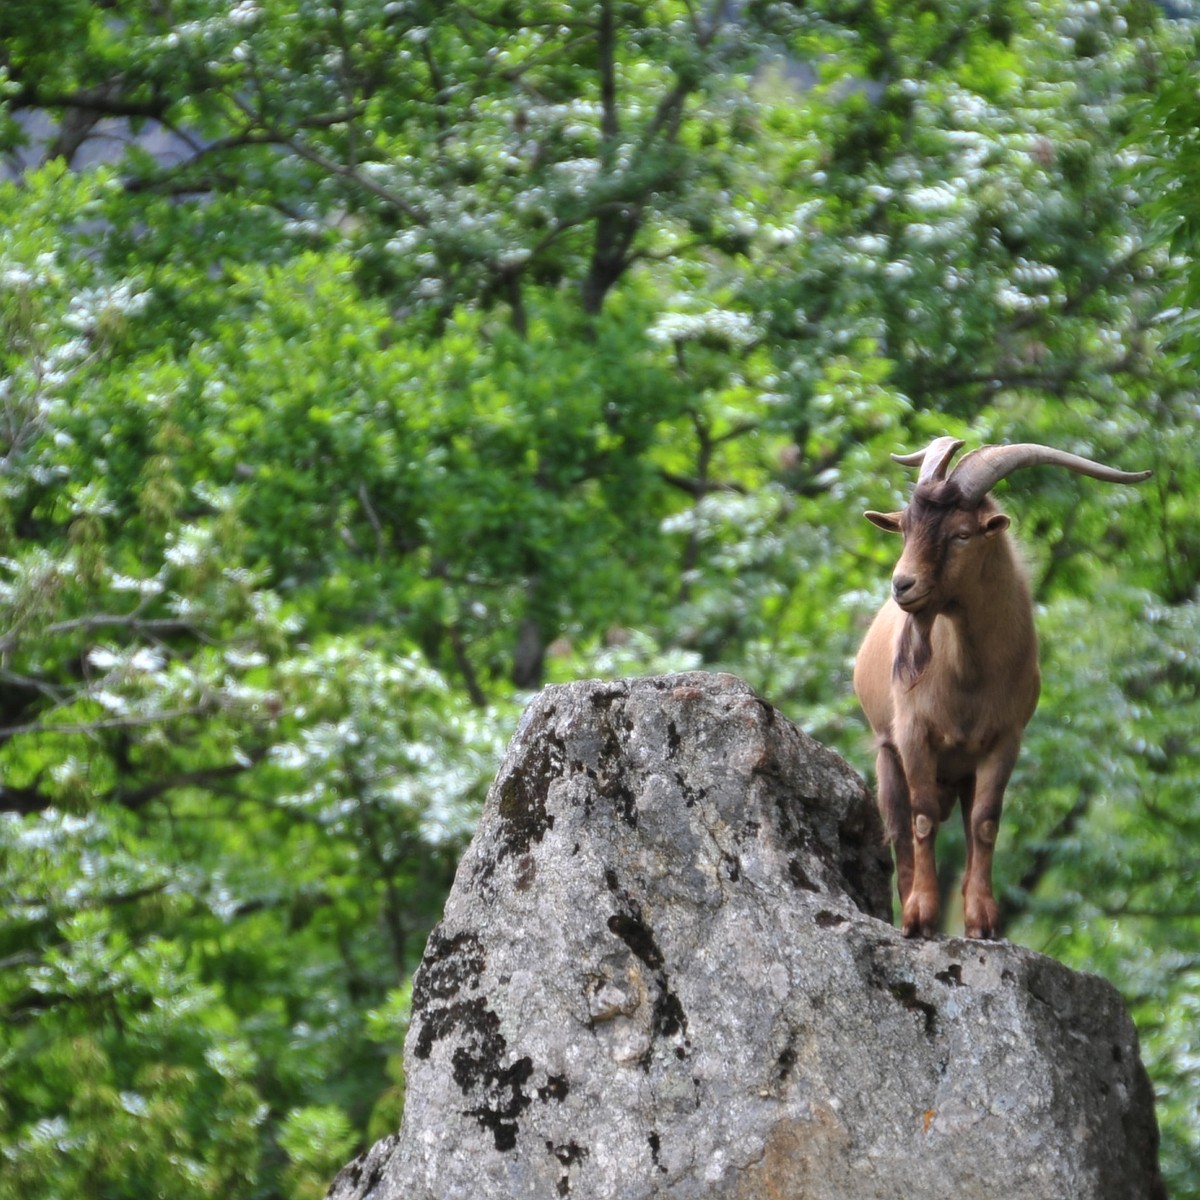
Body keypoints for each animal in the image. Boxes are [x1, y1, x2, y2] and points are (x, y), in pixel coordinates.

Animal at [859, 436, 1147, 940]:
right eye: (905, 527)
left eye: (962, 534)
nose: (903, 585)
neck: (967, 678)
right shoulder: (913, 734)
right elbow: (921, 818)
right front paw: (920, 915)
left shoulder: (1004, 740)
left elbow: (985, 824)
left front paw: (983, 921)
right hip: (887, 755)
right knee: (898, 826)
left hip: (964, 771)